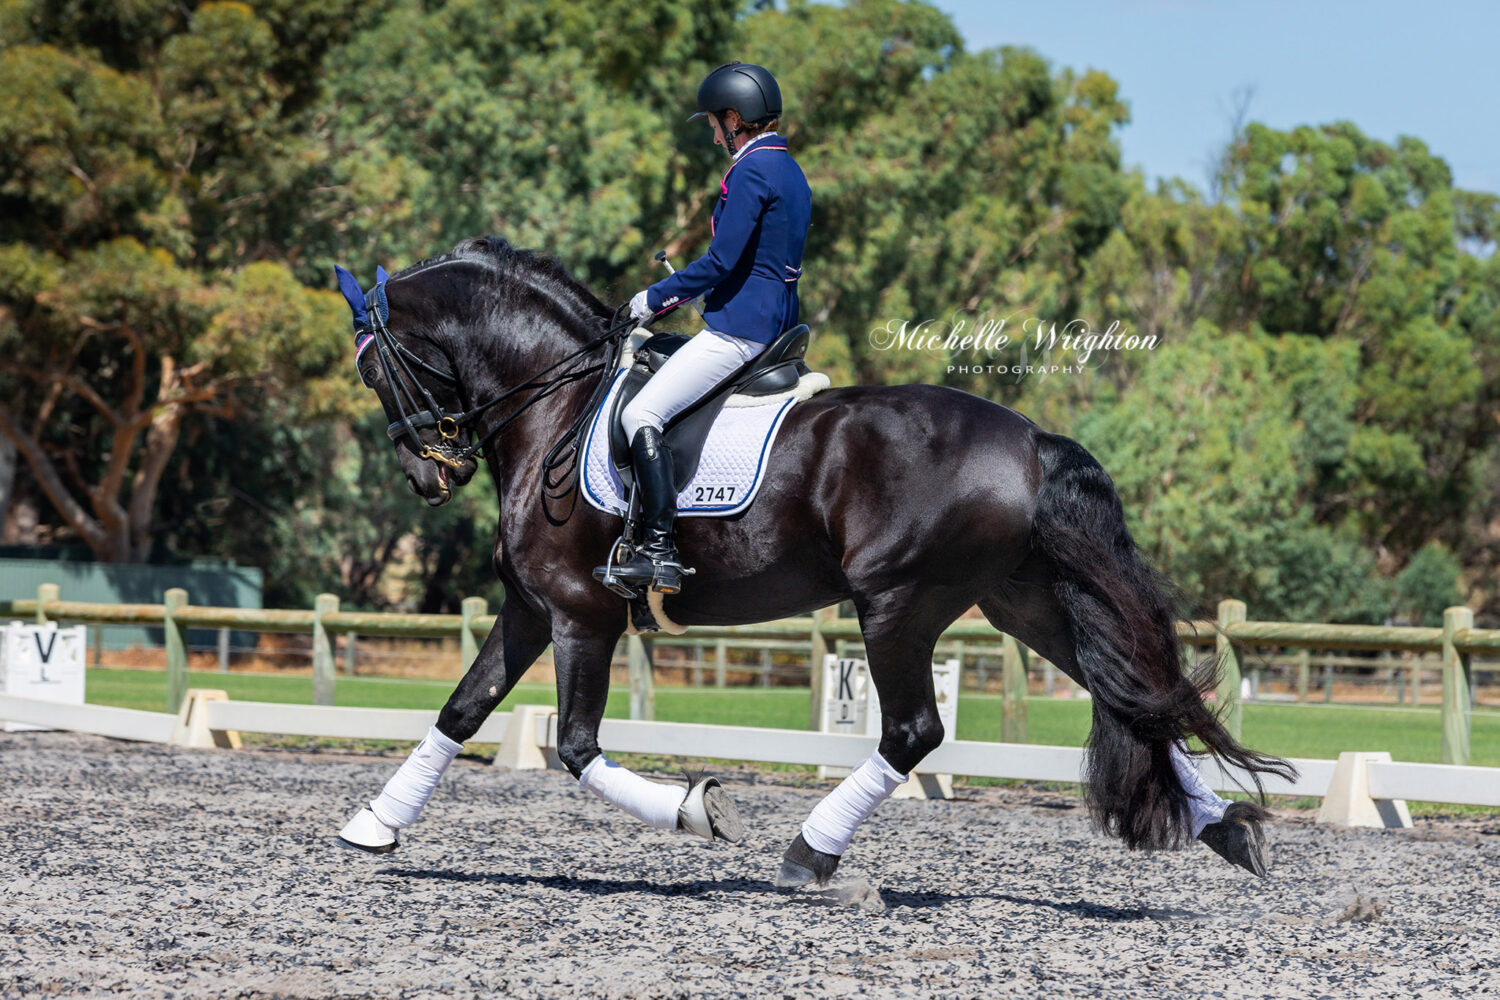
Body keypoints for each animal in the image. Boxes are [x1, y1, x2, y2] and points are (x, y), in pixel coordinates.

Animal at [345, 236, 1296, 881]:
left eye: (374, 371)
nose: (429, 474)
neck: (559, 401)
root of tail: (1029, 440)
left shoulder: (580, 614)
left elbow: (577, 749)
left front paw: (699, 812)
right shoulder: (529, 608)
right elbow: (461, 712)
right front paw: (373, 826)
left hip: (898, 602)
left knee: (915, 732)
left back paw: (810, 851)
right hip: (1023, 601)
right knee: (1127, 696)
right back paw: (1225, 831)